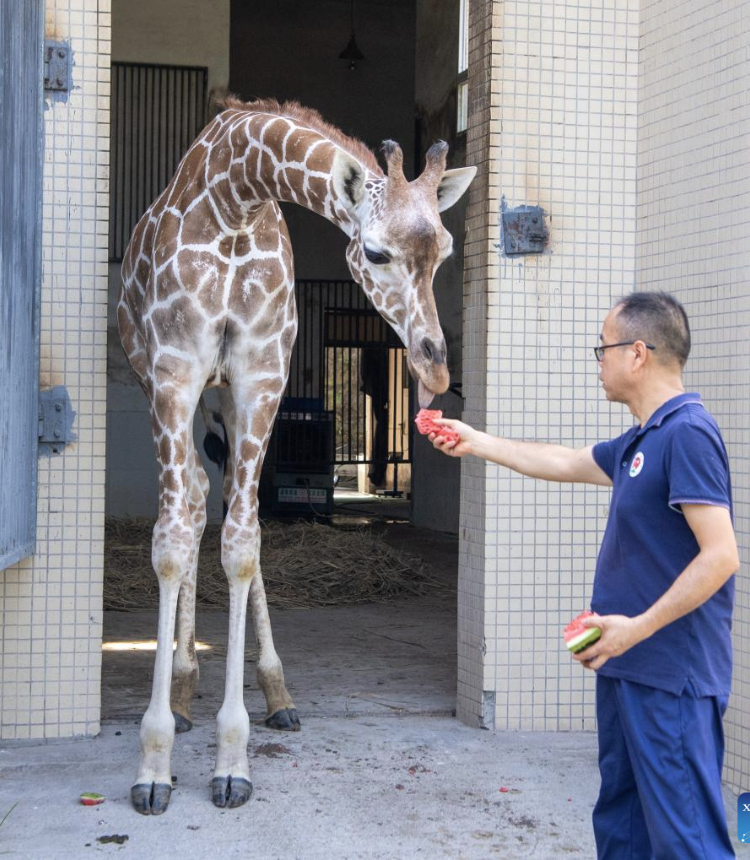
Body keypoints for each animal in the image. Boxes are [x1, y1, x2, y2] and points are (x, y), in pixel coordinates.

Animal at [117, 98, 476, 815]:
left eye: (447, 250)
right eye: (375, 251)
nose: (436, 370)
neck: (236, 197)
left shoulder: (261, 376)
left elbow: (244, 543)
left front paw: (233, 761)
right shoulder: (173, 373)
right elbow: (170, 543)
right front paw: (154, 764)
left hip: (228, 396)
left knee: (224, 503)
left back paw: (273, 693)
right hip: (173, 388)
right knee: (193, 501)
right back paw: (183, 689)